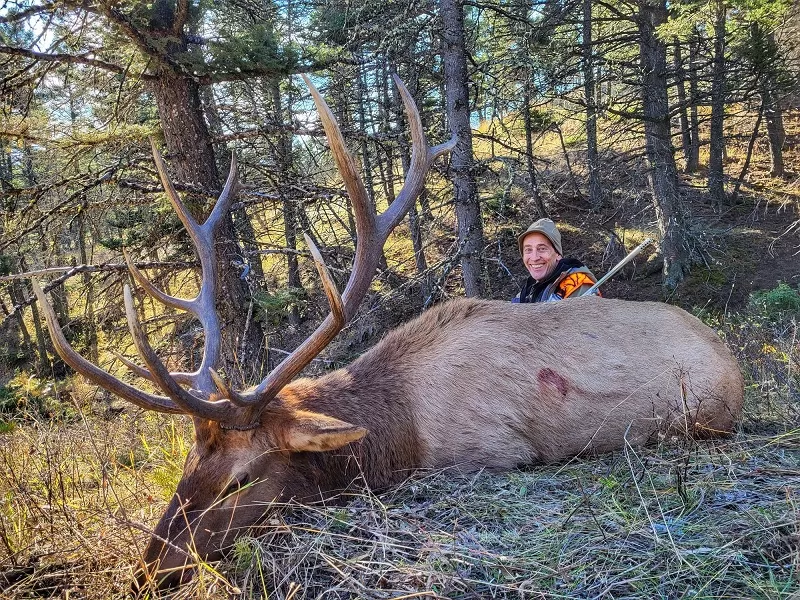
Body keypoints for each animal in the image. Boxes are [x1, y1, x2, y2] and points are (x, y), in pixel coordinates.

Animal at [31, 76, 744, 592]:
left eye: (239, 480)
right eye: (186, 461)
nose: (148, 570)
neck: (397, 427)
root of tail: (729, 354)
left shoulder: (491, 453)